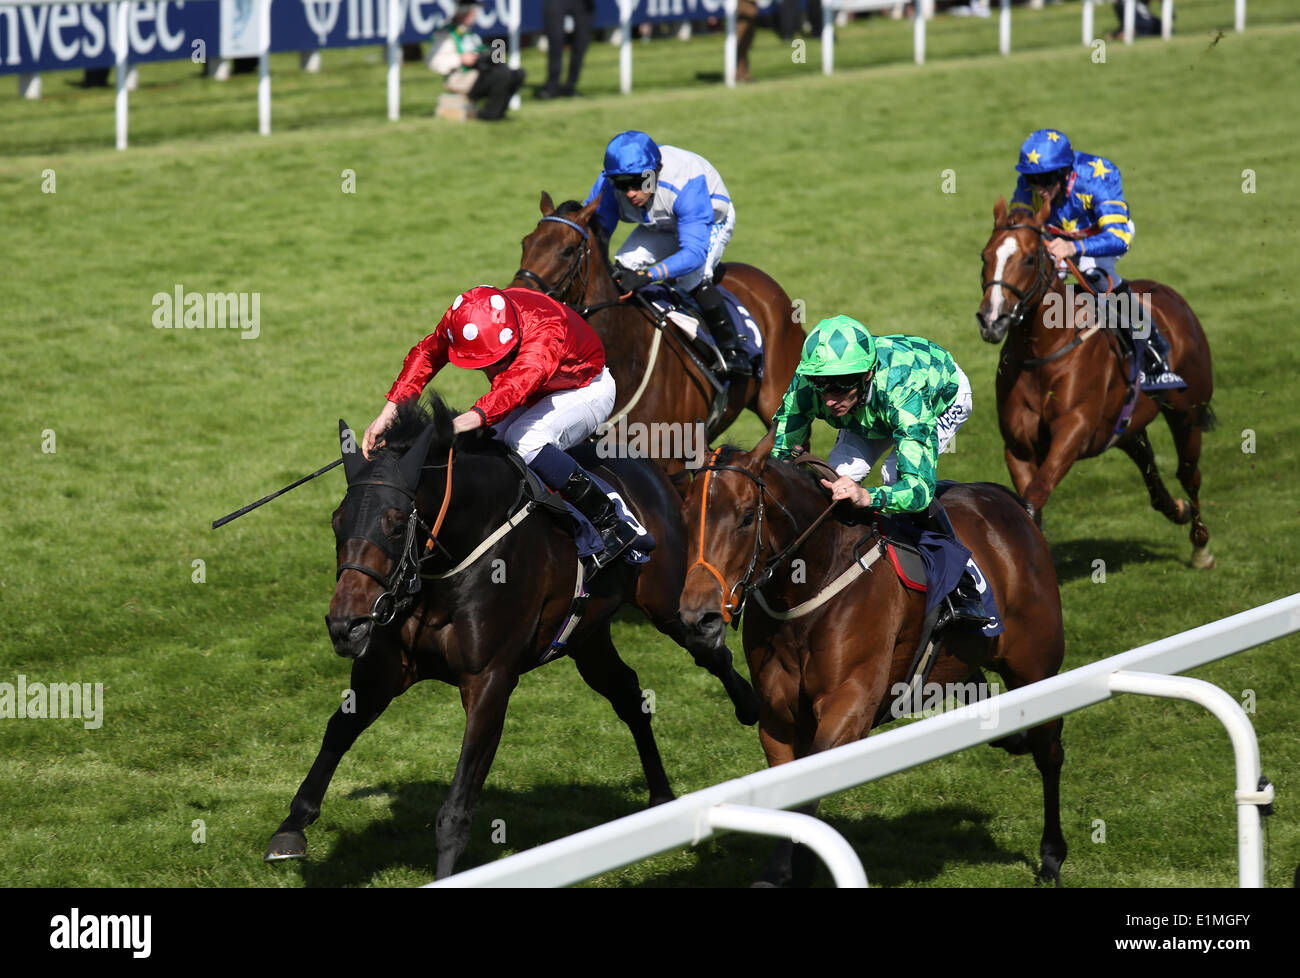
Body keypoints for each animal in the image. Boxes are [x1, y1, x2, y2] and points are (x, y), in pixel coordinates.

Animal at [263, 395, 759, 879]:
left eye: (395, 521)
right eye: (336, 520)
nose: (345, 625)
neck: (453, 561)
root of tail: (654, 470)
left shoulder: (489, 681)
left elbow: (457, 807)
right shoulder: (383, 668)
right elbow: (338, 730)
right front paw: (290, 830)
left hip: (668, 601)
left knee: (708, 648)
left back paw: (749, 706)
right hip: (586, 636)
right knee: (629, 695)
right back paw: (659, 800)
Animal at [512, 189, 806, 473]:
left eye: (568, 250)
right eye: (526, 242)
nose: (519, 296)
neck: (628, 362)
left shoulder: (673, 463)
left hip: (776, 401)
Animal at [681, 439, 1066, 889]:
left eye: (745, 517)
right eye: (685, 516)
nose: (699, 619)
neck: (812, 581)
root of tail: (1007, 501)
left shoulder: (850, 704)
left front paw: (789, 869)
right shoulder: (778, 715)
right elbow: (790, 789)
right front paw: (785, 870)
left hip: (1036, 666)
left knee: (1050, 751)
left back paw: (1052, 856)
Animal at [977, 196, 1211, 569]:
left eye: (1028, 258)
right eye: (985, 257)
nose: (991, 320)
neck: (1044, 350)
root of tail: (1171, 294)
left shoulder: (1074, 430)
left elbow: (1035, 495)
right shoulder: (1018, 446)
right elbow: (1029, 503)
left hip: (1187, 412)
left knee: (1189, 473)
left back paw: (1201, 547)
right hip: (1125, 426)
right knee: (1147, 461)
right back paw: (1177, 508)